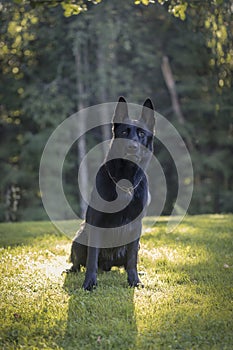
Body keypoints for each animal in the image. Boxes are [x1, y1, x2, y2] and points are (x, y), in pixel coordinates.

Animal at [70, 96, 156, 290]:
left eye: (141, 134)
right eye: (124, 132)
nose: (132, 147)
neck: (125, 182)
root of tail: (107, 266)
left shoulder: (136, 227)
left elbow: (132, 260)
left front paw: (134, 281)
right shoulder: (96, 223)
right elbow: (92, 259)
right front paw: (89, 284)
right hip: (79, 237)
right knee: (77, 261)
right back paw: (72, 270)